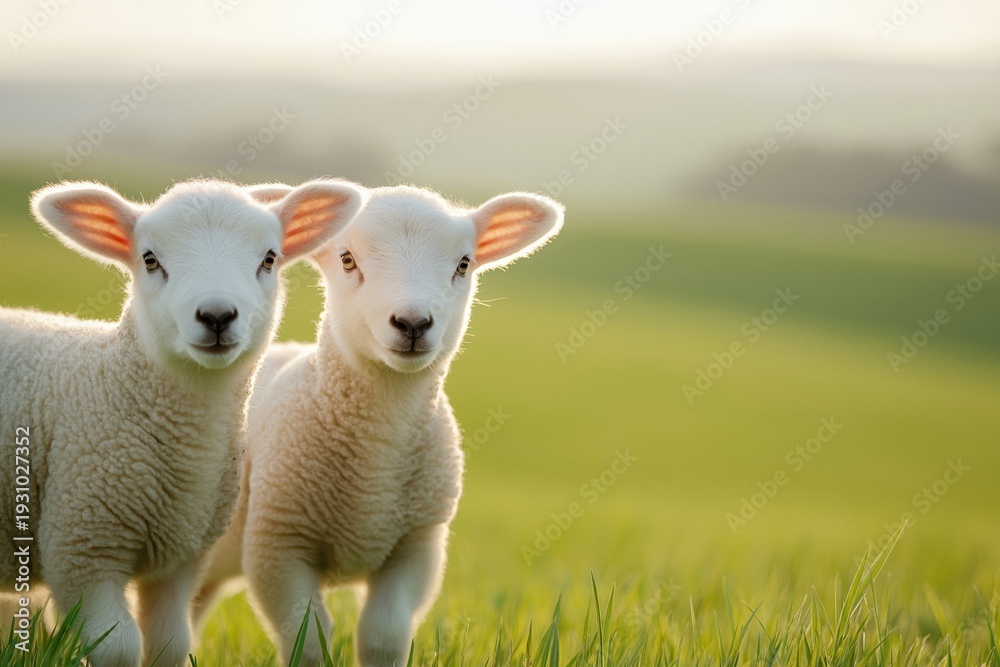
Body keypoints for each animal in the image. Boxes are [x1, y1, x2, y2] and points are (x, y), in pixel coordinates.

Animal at [0, 177, 365, 667]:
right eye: (150, 259)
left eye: (269, 258)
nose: (216, 315)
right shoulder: (83, 548)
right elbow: (118, 647)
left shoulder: (183, 558)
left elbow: (170, 644)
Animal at [196, 184, 564, 666]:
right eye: (347, 259)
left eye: (463, 264)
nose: (413, 323)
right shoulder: (278, 545)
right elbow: (308, 639)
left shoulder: (418, 547)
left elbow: (384, 634)